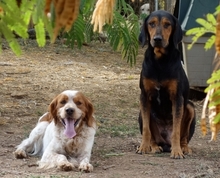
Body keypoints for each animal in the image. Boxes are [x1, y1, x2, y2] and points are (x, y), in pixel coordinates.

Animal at [138, 10, 196, 159]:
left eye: (167, 24)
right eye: (151, 24)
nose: (157, 39)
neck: (160, 61)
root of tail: (165, 142)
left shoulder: (177, 98)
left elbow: (176, 130)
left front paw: (177, 151)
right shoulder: (144, 96)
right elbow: (146, 129)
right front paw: (143, 147)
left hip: (190, 107)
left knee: (184, 137)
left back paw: (183, 148)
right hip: (141, 112)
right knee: (152, 136)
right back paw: (153, 147)